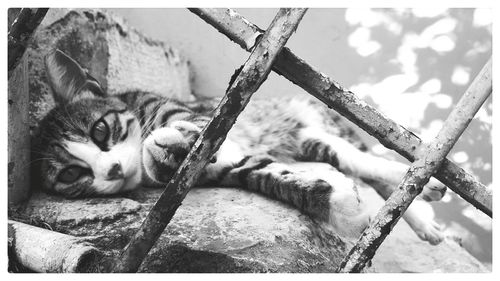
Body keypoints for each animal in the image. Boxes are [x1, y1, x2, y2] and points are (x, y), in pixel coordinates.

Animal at [31, 49, 446, 244]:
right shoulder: (228, 169)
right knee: (357, 163)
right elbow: (268, 175)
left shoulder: (199, 117)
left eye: (100, 131)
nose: (113, 170)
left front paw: (164, 149)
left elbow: (192, 132)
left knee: (367, 161)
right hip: (310, 140)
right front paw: (340, 207)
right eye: (71, 174)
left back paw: (425, 194)